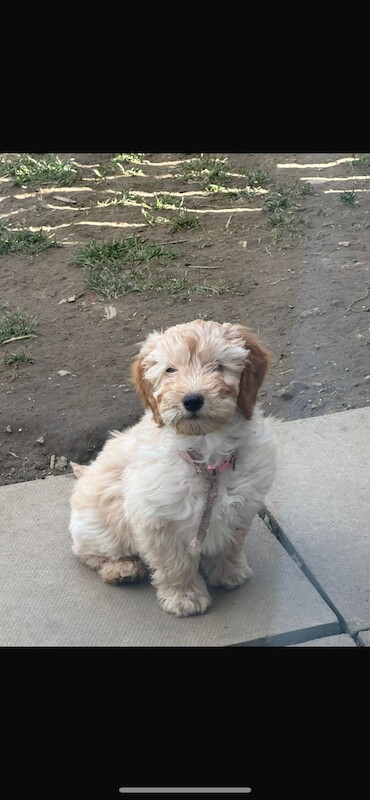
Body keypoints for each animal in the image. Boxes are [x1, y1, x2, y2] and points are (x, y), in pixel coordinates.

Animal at [71, 320, 276, 620]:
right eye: (170, 370)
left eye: (218, 366)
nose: (192, 400)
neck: (207, 456)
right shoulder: (157, 519)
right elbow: (174, 564)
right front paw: (185, 598)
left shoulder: (241, 508)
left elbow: (230, 545)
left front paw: (230, 573)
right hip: (98, 526)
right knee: (88, 551)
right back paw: (121, 569)